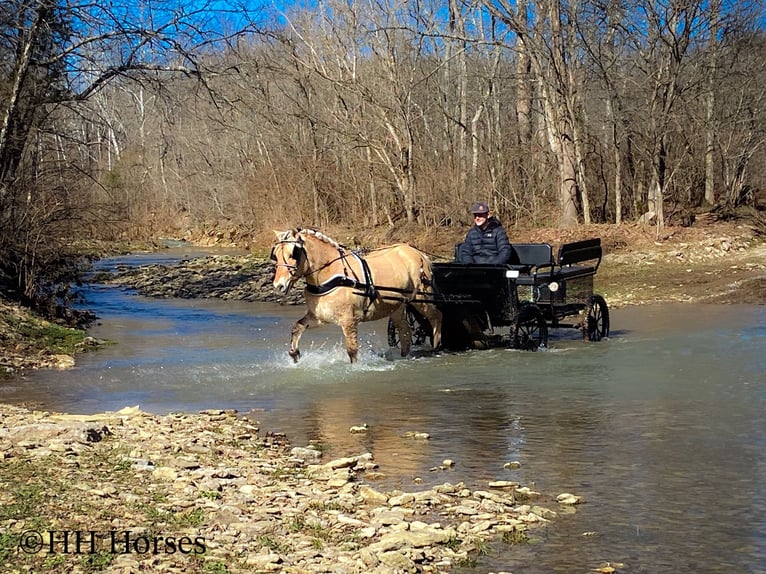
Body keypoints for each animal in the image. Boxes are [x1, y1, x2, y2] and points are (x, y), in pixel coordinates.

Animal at [272, 230, 444, 364]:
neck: (333, 274)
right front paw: (294, 353)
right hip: (397, 307)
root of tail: (418, 253)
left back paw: (436, 346)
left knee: (436, 316)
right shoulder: (320, 317)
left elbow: (352, 351)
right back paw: (404, 356)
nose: (278, 285)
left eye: (293, 253)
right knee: (405, 330)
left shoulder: (349, 321)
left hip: (422, 298)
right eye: (276, 255)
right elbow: (297, 327)